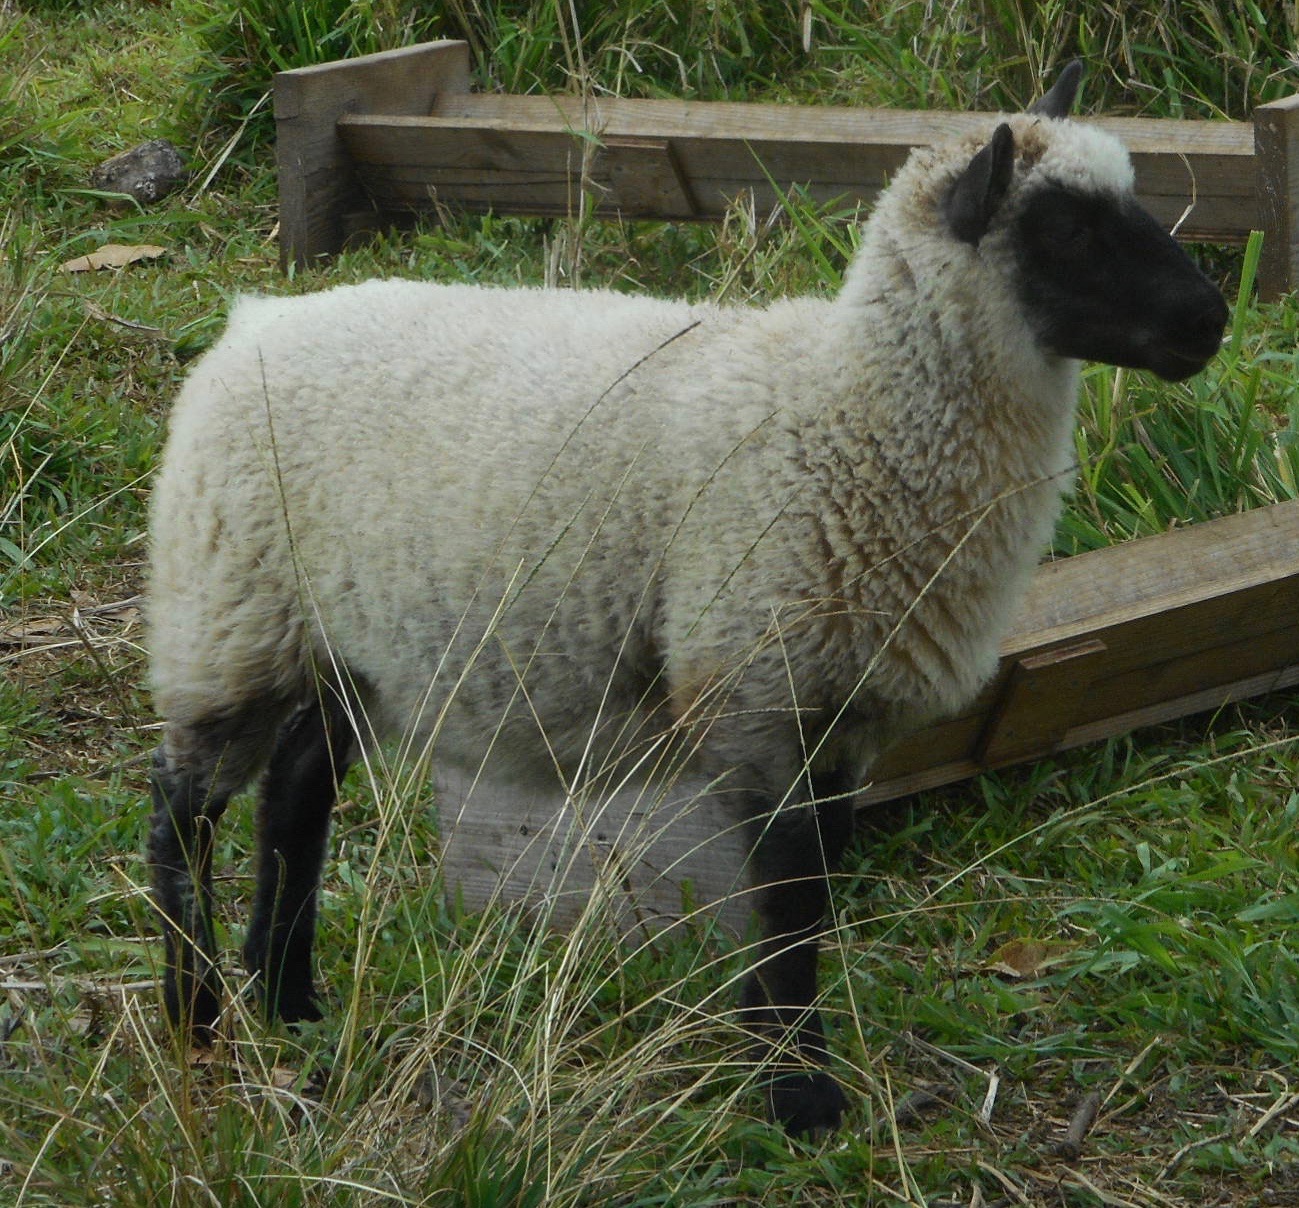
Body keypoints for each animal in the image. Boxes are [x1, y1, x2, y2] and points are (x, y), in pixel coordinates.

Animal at [147, 61, 1231, 1132]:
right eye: (1066, 231)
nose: (1210, 321)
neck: (846, 413)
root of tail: (253, 320)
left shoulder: (837, 712)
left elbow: (808, 880)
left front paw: (769, 1052)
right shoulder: (758, 684)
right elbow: (791, 893)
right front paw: (798, 1093)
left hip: (340, 644)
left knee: (295, 793)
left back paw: (288, 998)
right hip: (229, 611)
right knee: (182, 806)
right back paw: (196, 1016)